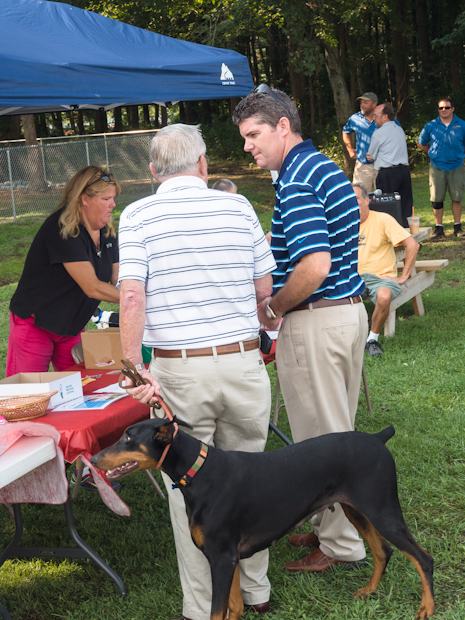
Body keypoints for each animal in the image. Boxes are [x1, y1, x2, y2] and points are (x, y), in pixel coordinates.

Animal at [91, 416, 436, 620]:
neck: (199, 471)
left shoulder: (221, 558)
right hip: (357, 510)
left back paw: (427, 608)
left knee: (423, 559)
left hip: (382, 511)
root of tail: (378, 438)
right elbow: (233, 607)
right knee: (383, 551)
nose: (93, 458)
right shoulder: (228, 559)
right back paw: (369, 591)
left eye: (128, 438)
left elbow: (217, 612)